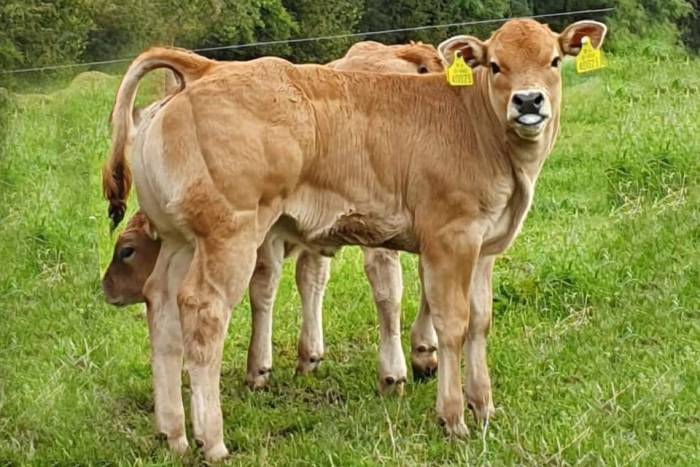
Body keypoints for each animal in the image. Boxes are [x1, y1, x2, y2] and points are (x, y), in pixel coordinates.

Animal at [102, 41, 444, 393]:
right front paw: (309, 356)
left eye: (126, 250)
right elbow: (310, 279)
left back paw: (399, 367)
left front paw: (259, 368)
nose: (106, 288)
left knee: (388, 285)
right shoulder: (311, 234)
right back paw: (424, 352)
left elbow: (263, 286)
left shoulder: (269, 236)